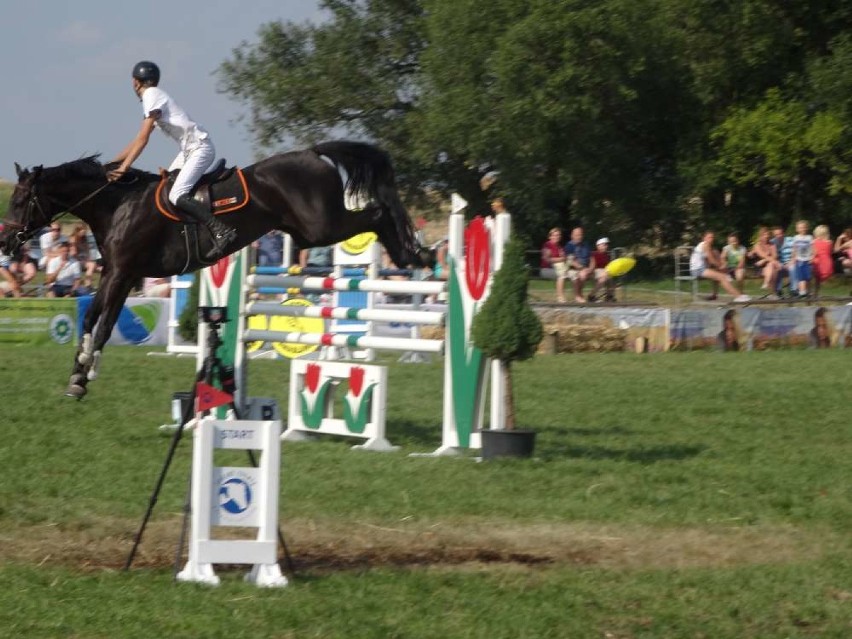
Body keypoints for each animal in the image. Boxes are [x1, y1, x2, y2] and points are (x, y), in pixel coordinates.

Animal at [0, 142, 422, 398]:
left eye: (20, 200)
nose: (5, 243)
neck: (117, 205)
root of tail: (313, 153)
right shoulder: (115, 273)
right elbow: (90, 319)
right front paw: (78, 376)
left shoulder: (124, 273)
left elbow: (104, 325)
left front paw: (87, 375)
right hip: (305, 231)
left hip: (321, 226)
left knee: (378, 211)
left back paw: (412, 252)